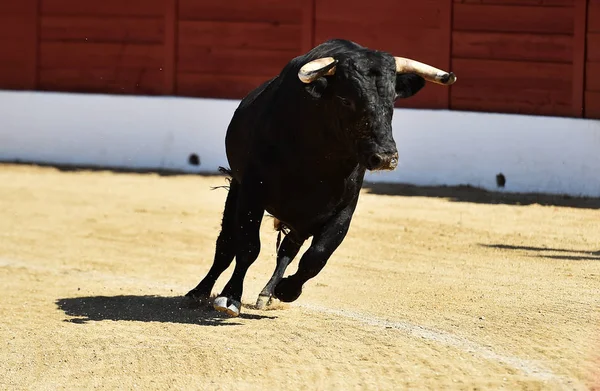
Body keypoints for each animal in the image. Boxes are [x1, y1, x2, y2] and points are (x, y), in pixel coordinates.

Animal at [182, 38, 454, 316]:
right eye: (345, 100)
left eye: (392, 101)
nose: (386, 157)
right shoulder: (252, 192)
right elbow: (248, 246)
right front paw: (230, 297)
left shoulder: (343, 210)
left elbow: (317, 256)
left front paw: (287, 290)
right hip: (239, 190)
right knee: (226, 245)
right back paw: (199, 292)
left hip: (302, 218)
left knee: (288, 249)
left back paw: (268, 293)